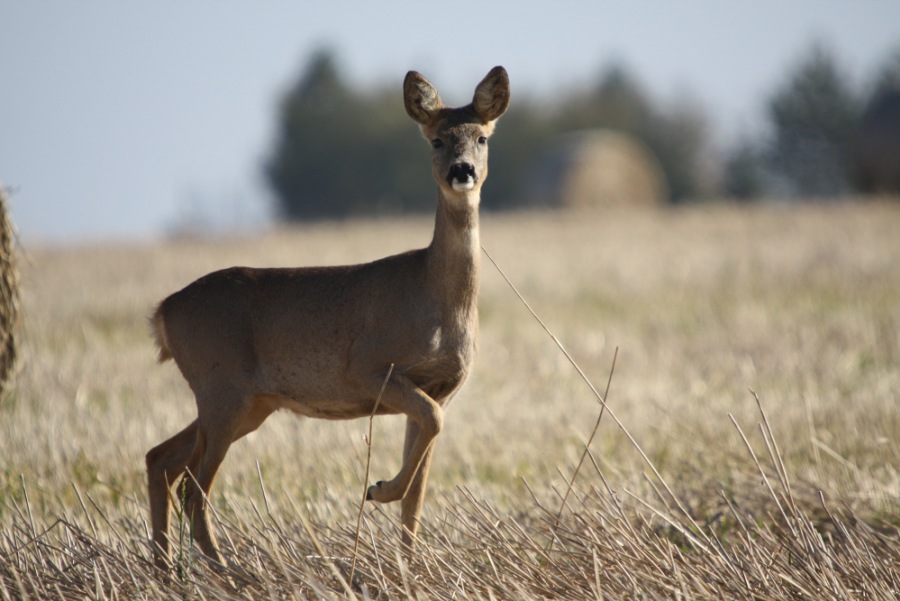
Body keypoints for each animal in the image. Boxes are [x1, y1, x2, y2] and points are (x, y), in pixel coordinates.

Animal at [145, 66, 510, 568]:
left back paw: (167, 569)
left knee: (159, 459)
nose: (462, 171)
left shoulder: (442, 386)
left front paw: (408, 564)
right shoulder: (368, 366)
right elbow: (432, 428)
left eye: (482, 137)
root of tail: (164, 310)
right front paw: (378, 489)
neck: (436, 299)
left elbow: (420, 487)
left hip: (248, 401)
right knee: (191, 487)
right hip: (222, 389)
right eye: (436, 140)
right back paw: (227, 571)